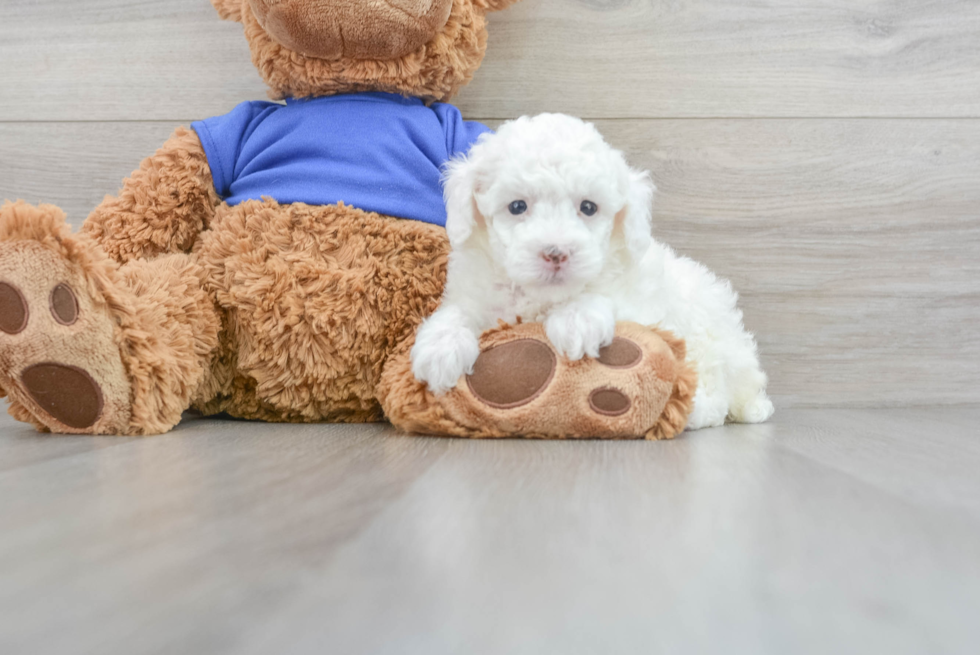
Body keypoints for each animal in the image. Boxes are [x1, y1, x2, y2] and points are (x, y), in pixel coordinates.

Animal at [410, 113, 768, 430]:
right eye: (517, 206)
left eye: (588, 207)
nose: (556, 253)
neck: (542, 297)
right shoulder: (477, 292)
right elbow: (458, 311)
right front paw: (440, 348)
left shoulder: (643, 302)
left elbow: (604, 297)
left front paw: (576, 320)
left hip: (712, 340)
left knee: (718, 391)